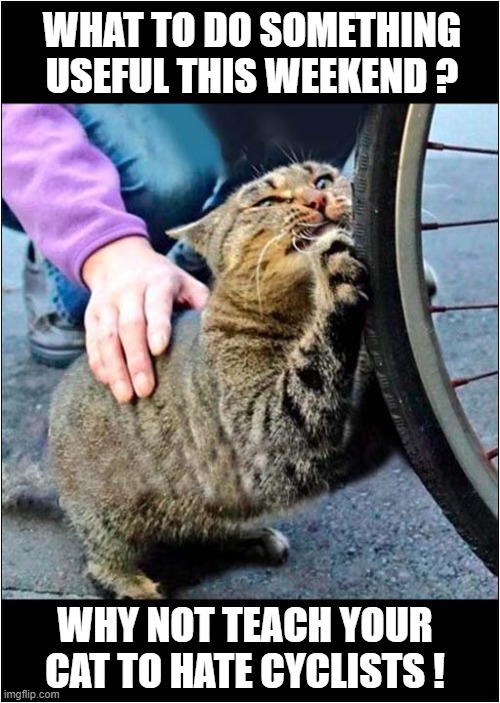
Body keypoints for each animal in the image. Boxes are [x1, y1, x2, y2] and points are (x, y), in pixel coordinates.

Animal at [49, 161, 394, 600]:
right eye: (267, 201)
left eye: (321, 180)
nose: (317, 198)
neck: (298, 307)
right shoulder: (266, 438)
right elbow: (314, 372)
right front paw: (334, 276)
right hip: (109, 517)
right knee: (100, 562)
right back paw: (135, 586)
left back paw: (251, 537)